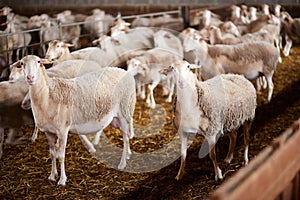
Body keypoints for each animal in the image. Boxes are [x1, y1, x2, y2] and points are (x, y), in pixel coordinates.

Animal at [12, 55, 137, 186]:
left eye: (38, 61)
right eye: (21, 63)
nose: (30, 78)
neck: (49, 95)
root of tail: (124, 71)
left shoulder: (62, 130)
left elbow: (61, 156)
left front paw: (62, 180)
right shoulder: (48, 132)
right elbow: (52, 154)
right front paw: (52, 175)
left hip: (124, 110)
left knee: (125, 138)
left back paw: (122, 163)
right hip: (114, 118)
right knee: (125, 134)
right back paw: (128, 154)